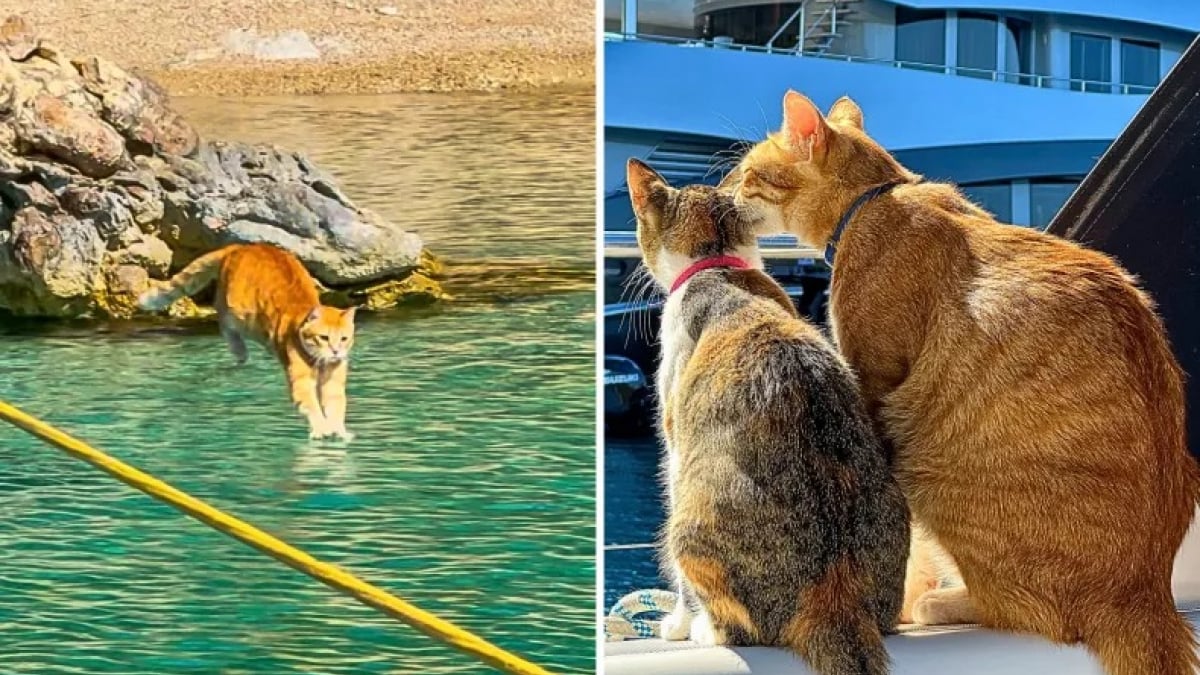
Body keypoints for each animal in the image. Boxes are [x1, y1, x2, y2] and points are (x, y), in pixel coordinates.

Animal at [139, 243, 355, 439]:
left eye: (344, 339)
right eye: (324, 338)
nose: (336, 351)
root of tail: (242, 246)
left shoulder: (333, 382)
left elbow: (336, 406)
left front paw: (338, 430)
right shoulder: (301, 383)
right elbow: (312, 406)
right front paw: (321, 429)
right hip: (239, 313)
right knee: (223, 320)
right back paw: (239, 350)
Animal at [628, 158, 907, 672]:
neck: (717, 265)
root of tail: (832, 595)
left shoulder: (675, 449)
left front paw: (676, 623)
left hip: (689, 520)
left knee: (738, 625)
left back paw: (705, 629)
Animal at [720, 90, 1200, 672]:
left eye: (747, 173)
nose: (721, 192)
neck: (874, 200)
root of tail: (1145, 592)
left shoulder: (873, 387)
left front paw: (901, 600)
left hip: (929, 472)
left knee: (1024, 609)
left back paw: (940, 603)